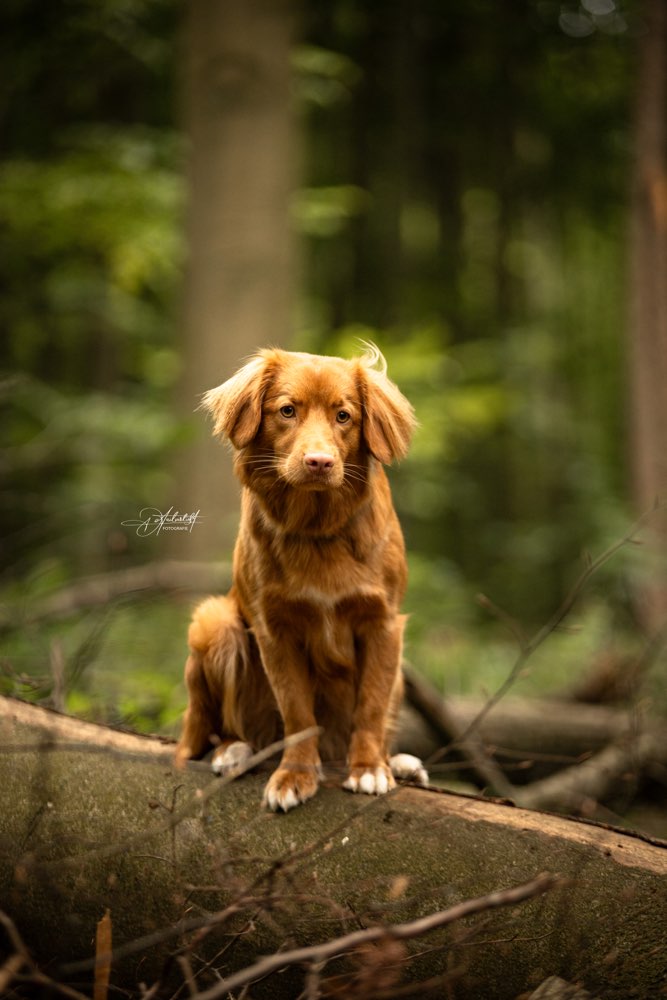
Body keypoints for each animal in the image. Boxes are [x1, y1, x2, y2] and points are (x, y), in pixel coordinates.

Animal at [177, 346, 428, 812]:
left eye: (344, 416)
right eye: (287, 410)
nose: (319, 462)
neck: (316, 527)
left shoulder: (383, 624)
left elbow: (370, 705)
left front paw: (369, 768)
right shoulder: (275, 630)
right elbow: (297, 711)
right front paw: (294, 774)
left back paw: (397, 763)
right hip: (214, 622)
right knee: (221, 731)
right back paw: (235, 751)